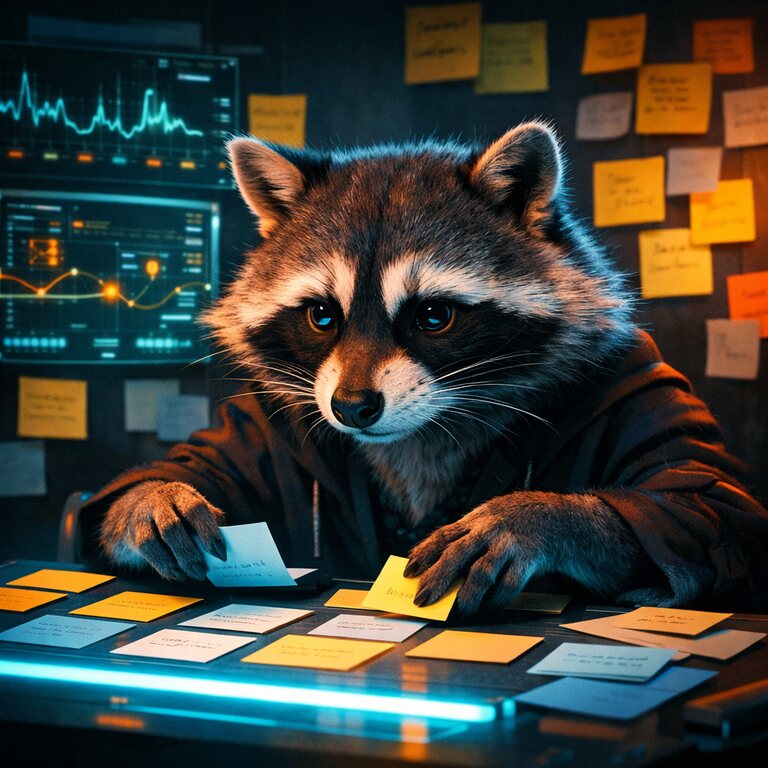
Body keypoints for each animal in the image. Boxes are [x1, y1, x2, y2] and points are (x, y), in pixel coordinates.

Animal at [90, 121, 768, 615]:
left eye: (433, 315)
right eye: (321, 316)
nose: (352, 408)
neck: (430, 423)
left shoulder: (632, 385)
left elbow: (708, 499)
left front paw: (537, 517)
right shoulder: (265, 414)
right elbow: (180, 468)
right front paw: (152, 496)